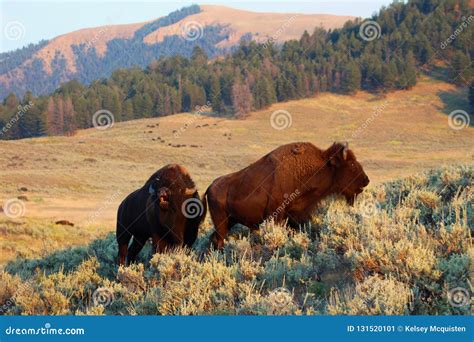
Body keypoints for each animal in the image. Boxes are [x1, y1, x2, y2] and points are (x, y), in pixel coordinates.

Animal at [206, 142, 370, 248]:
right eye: (352, 164)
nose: (366, 180)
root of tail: (209, 188)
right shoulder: (278, 215)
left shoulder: (298, 215)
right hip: (221, 222)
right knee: (218, 239)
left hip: (230, 221)